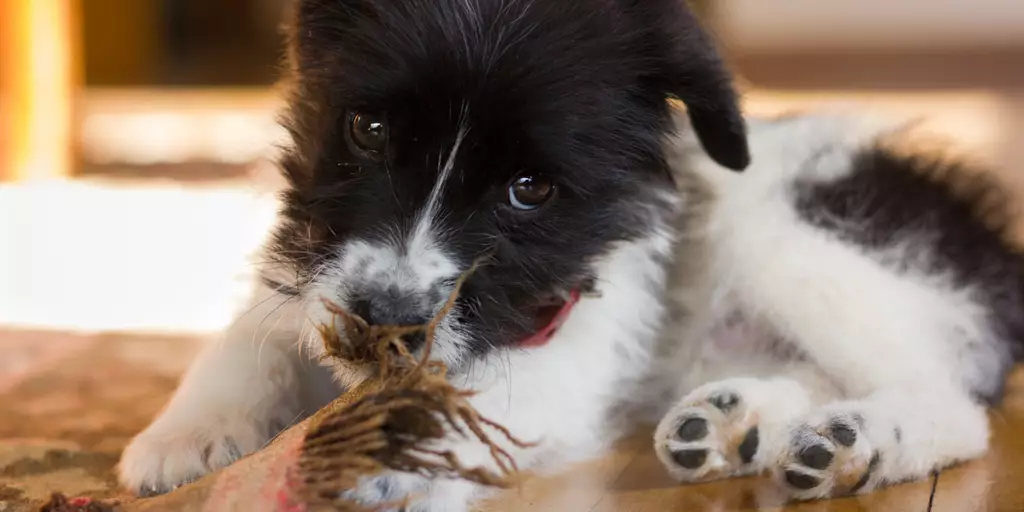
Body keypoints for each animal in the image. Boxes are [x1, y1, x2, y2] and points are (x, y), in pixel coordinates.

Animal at [117, 0, 1024, 507]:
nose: (384, 327)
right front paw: (185, 435)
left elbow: (473, 404)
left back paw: (849, 443)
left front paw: (384, 454)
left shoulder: (560, 356)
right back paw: (735, 426)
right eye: (367, 130)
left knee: (950, 403)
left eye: (530, 188)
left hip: (793, 239)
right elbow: (250, 338)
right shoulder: (310, 279)